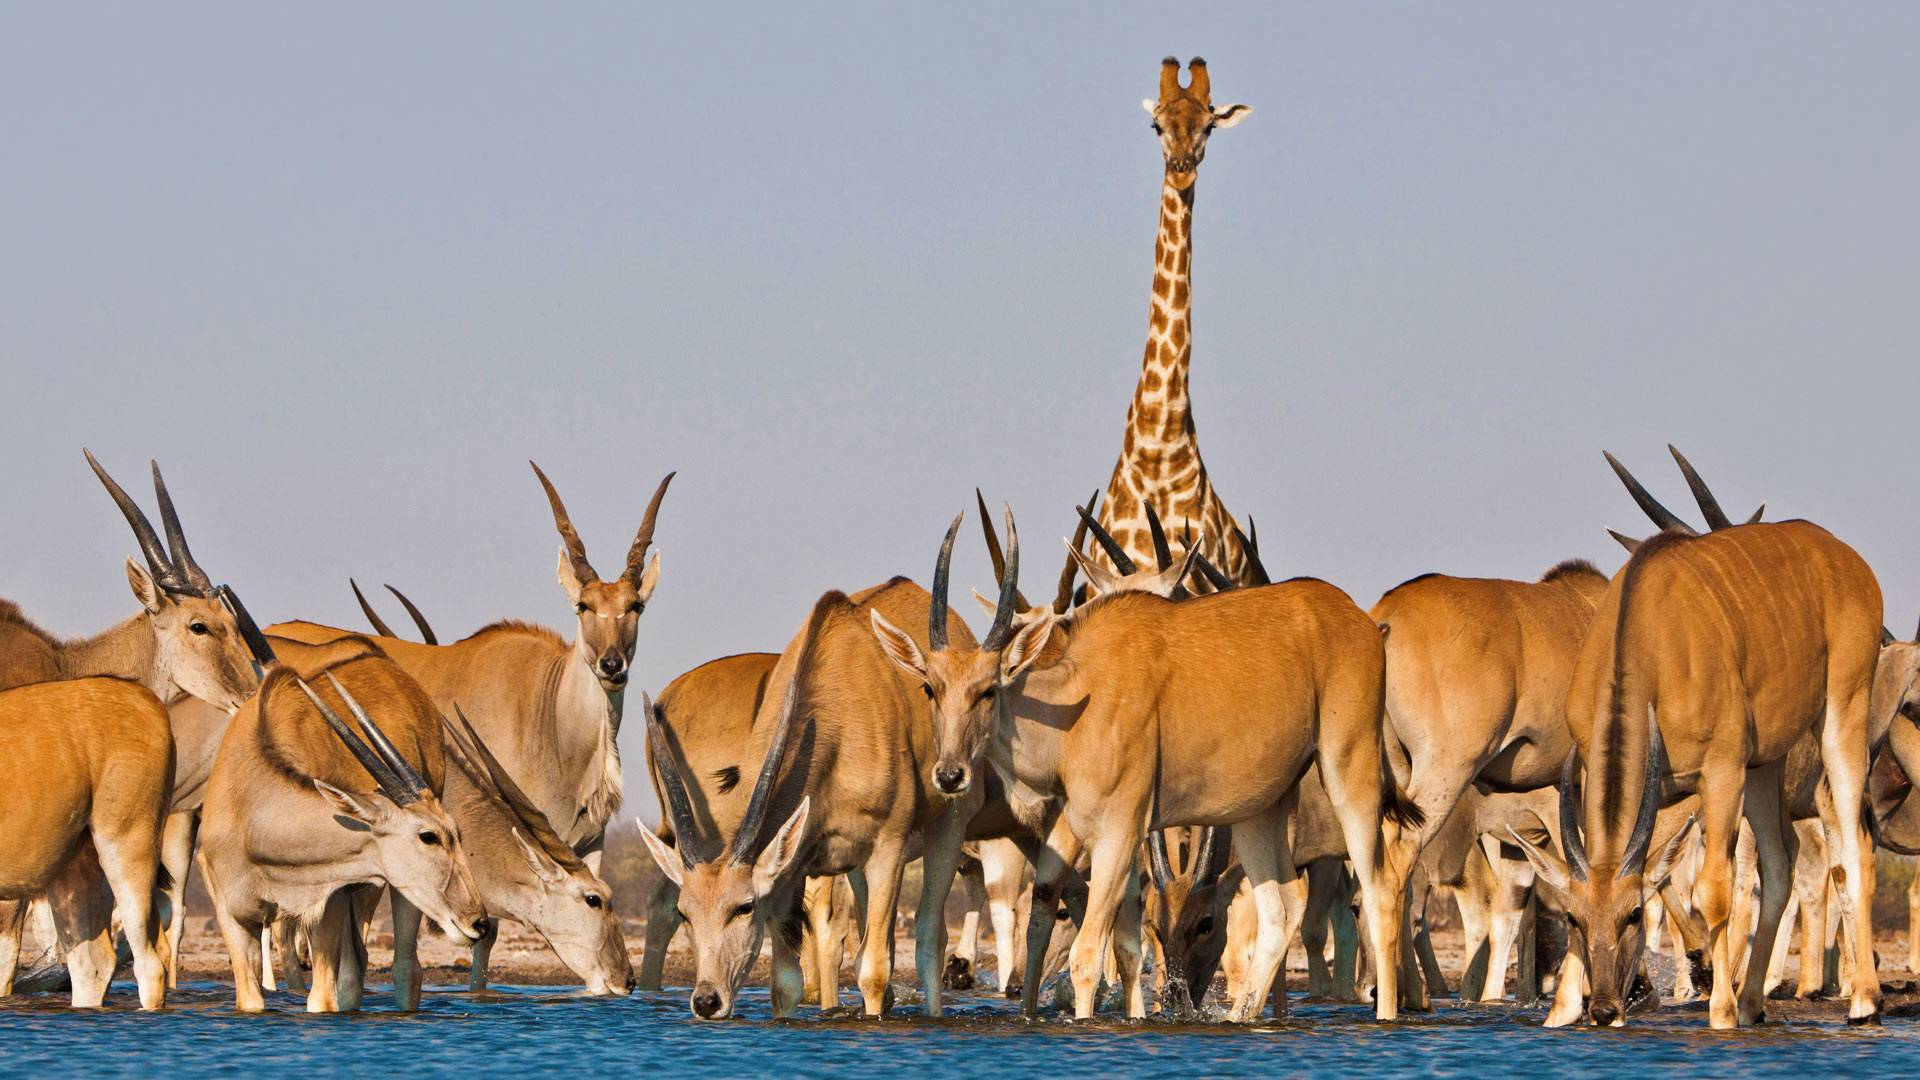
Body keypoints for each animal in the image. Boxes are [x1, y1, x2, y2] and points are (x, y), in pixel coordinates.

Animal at [197, 644, 489, 1012]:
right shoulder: (233, 918)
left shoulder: (328, 904)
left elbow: (323, 999)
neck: (249, 806)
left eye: (457, 835)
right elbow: (251, 999)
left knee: (400, 968)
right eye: (429, 836)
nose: (479, 922)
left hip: (395, 892)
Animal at [265, 461, 671, 988]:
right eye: (583, 606)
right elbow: (484, 937)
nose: (612, 664)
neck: (551, 716)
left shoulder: (588, 845)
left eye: (635, 606)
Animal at [872, 506, 1421, 1022]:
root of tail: (1357, 617)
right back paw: (1242, 1019)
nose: (949, 775)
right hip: (1256, 812)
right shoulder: (1071, 828)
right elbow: (1054, 916)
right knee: (1281, 910)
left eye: (988, 689)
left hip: (1348, 771)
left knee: (1380, 890)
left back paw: (1384, 1015)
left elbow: (1090, 951)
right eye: (930, 688)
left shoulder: (1120, 831)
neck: (1077, 699)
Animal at [1509, 449, 1885, 1029]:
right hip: (1765, 765)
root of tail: (1846, 558)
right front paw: (1561, 1010)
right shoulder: (1613, 777)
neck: (1648, 636)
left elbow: (1713, 891)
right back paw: (1753, 1003)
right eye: (1574, 919)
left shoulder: (1720, 772)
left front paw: (1720, 1011)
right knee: (1782, 859)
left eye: (1632, 915)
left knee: (1852, 851)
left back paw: (1863, 1000)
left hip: (1842, 713)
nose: (1605, 1008)